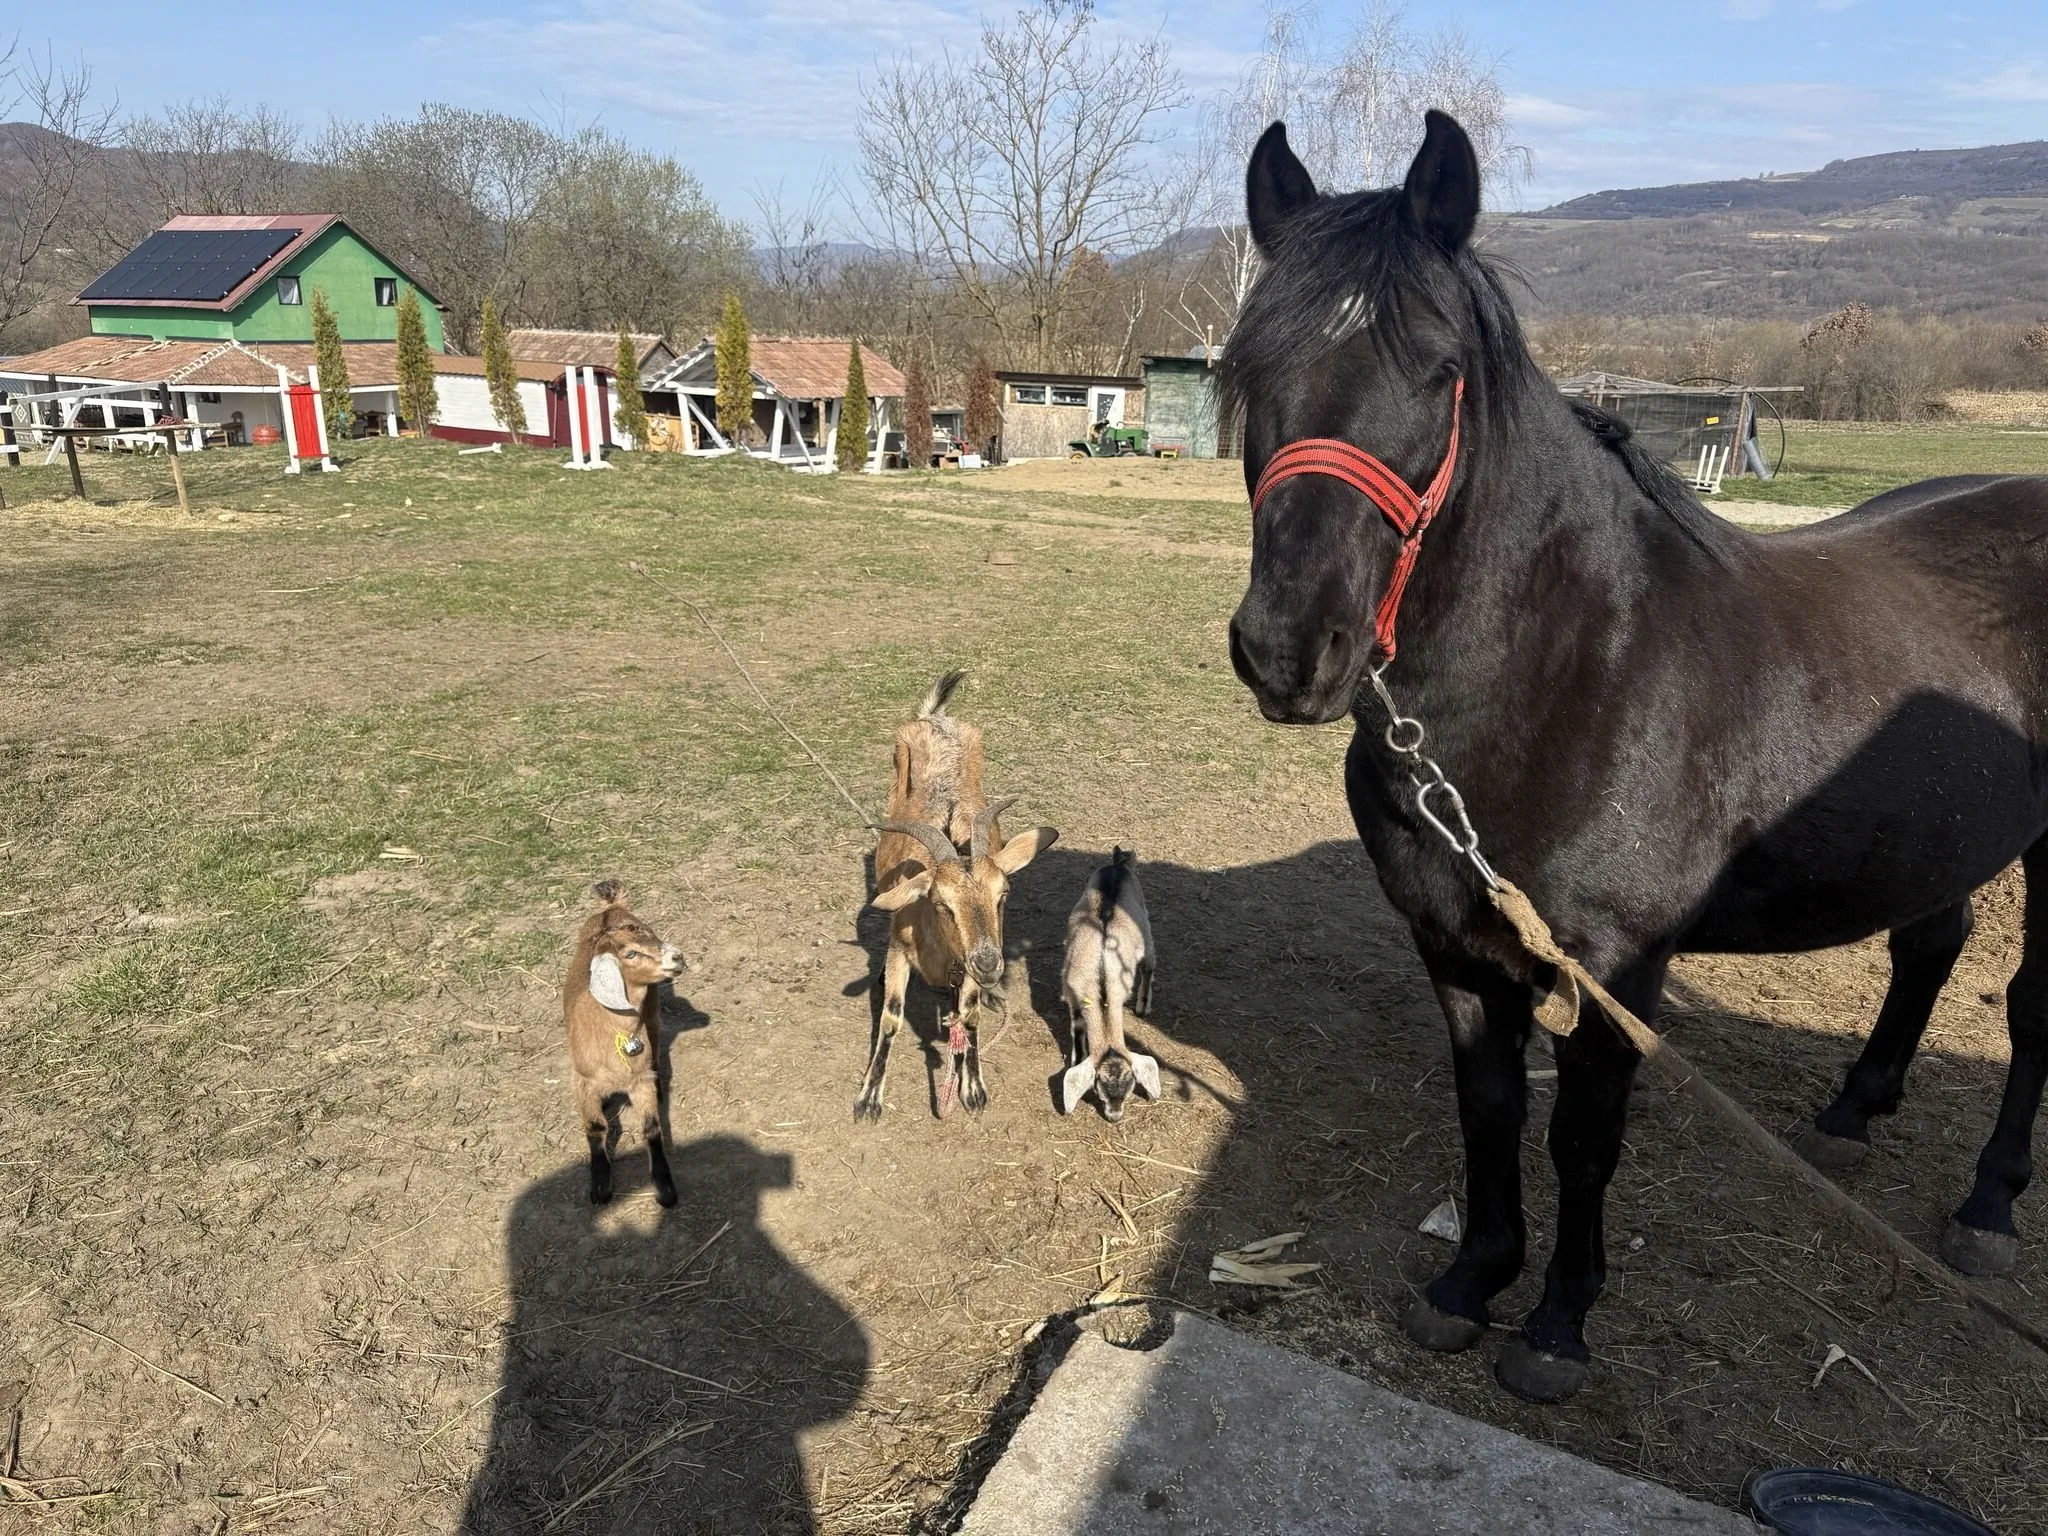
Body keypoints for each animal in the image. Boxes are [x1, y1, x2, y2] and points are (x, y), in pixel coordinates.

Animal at [1223, 109, 2048, 1403]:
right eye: (1246, 370)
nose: (1289, 649)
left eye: (1438, 373)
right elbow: (1488, 1109)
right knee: (1929, 942)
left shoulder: (1617, 968)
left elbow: (1582, 1139)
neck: (1575, 675)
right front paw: (1468, 1284)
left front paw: (1557, 1326)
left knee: (2027, 1008)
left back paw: (1986, 1207)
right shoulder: (1454, 948)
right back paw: (1851, 1113)